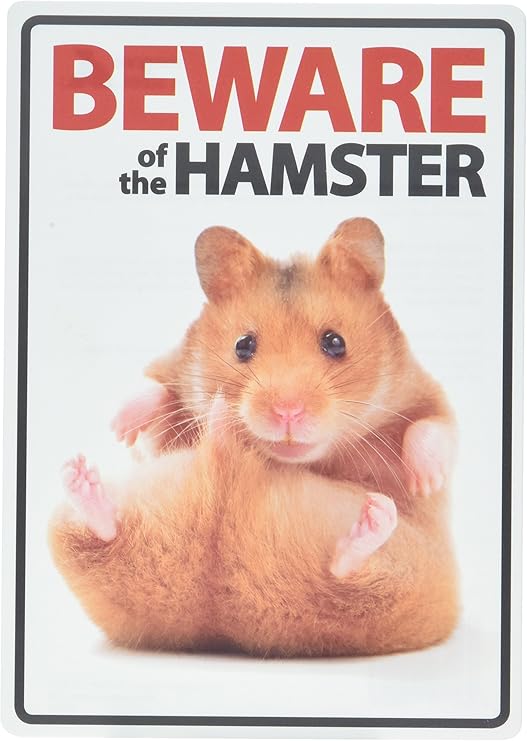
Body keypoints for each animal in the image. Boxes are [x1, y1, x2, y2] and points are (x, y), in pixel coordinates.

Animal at [50, 218, 459, 657]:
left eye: (335, 342)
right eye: (243, 345)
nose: (287, 412)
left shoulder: (427, 393)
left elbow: (431, 428)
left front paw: (424, 479)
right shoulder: (168, 397)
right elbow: (153, 395)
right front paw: (119, 426)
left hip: (405, 583)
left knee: (349, 576)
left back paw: (374, 517)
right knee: (102, 535)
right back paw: (83, 475)